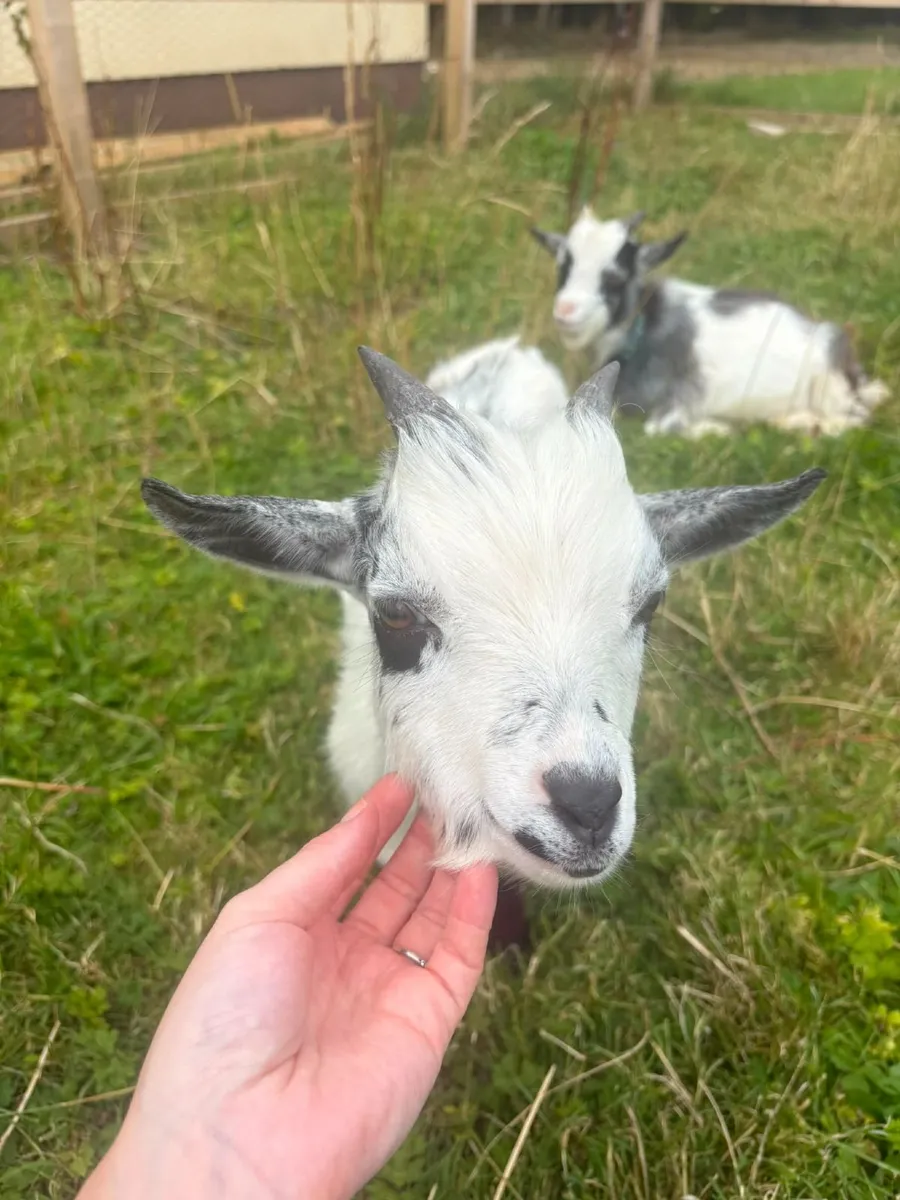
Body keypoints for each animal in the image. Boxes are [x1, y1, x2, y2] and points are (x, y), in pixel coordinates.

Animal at [532, 207, 888, 439]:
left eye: (616, 277)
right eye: (562, 266)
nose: (565, 311)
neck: (641, 331)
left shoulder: (684, 396)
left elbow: (660, 427)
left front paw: (717, 429)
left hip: (830, 387)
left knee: (858, 419)